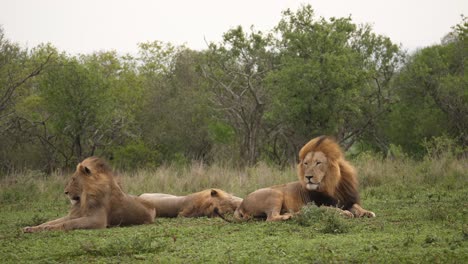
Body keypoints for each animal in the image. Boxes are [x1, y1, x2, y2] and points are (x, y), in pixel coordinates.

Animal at [23, 157, 156, 233]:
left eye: (73, 179)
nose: (65, 192)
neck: (84, 198)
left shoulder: (97, 220)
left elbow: (69, 223)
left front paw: (49, 229)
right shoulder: (75, 214)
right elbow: (50, 221)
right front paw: (31, 228)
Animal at [234, 136, 376, 221]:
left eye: (318, 163)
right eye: (306, 163)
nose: (308, 177)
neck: (332, 186)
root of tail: (241, 204)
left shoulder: (347, 200)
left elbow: (357, 206)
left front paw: (367, 212)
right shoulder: (316, 205)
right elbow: (330, 208)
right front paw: (345, 213)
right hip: (275, 193)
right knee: (272, 217)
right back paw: (292, 215)